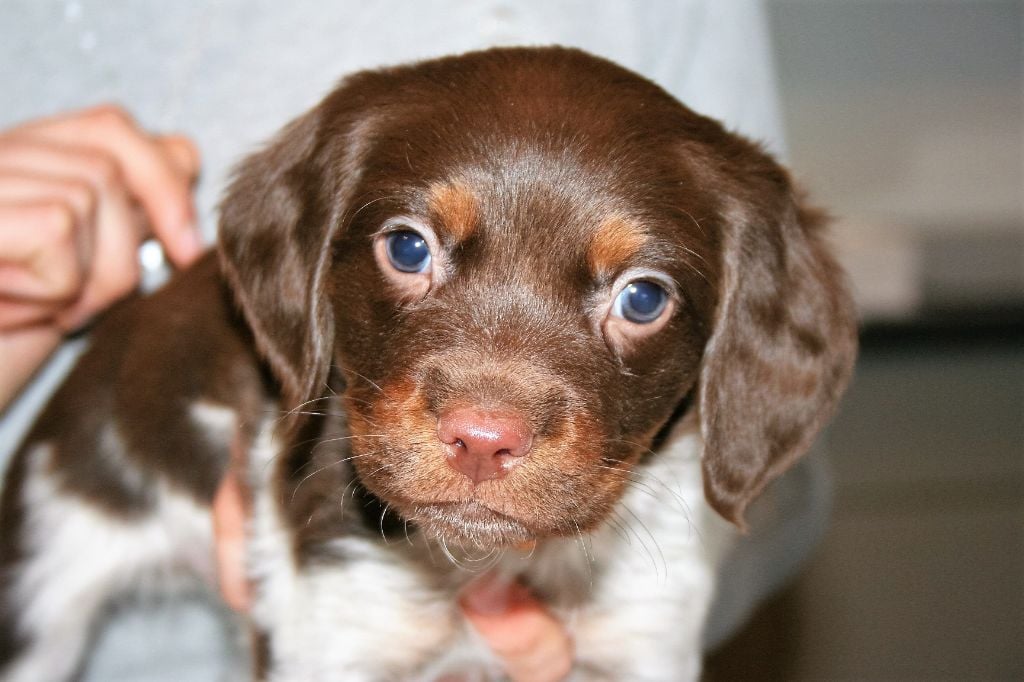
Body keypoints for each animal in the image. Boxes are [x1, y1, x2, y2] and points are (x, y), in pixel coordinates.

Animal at [0, 45, 856, 675]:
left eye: (644, 298)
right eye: (408, 248)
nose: (482, 441)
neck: (477, 565)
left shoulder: (643, 636)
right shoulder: (334, 629)